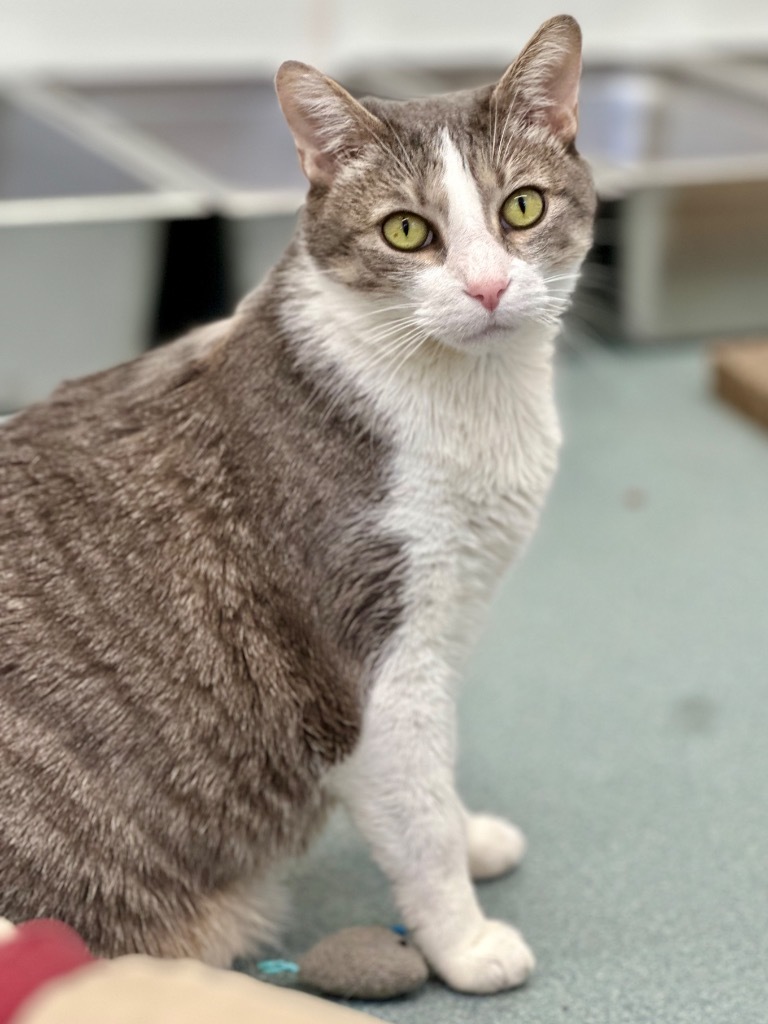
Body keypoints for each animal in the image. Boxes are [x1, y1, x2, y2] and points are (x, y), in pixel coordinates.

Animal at [0, 14, 593, 991]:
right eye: (406, 230)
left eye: (522, 209)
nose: (487, 286)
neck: (475, 406)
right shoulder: (378, 666)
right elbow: (420, 821)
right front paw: (466, 940)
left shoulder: (444, 630)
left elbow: (438, 788)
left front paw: (474, 837)